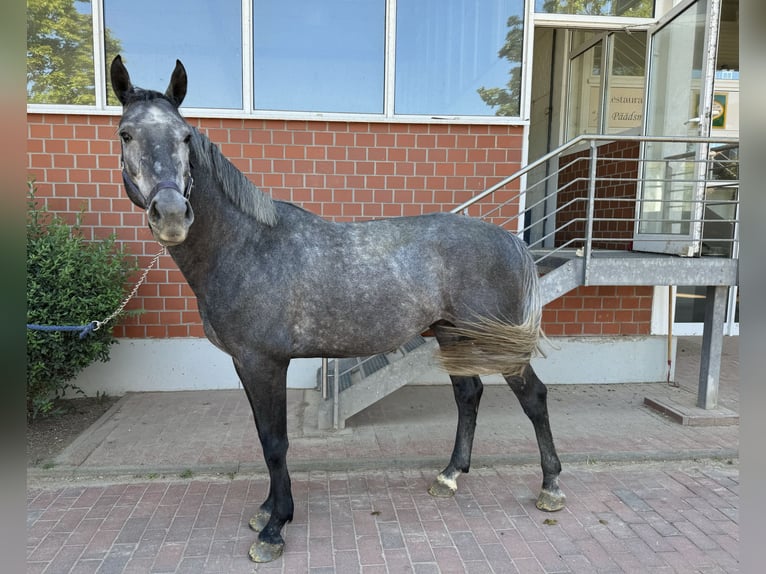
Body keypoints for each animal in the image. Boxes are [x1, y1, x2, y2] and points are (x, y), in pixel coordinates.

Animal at [109, 56, 564, 564]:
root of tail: (509, 239)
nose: (171, 214)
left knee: (533, 397)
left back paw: (550, 487)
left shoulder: (265, 363)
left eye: (185, 136)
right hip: (451, 333)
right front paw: (266, 511)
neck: (247, 246)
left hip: (494, 340)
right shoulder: (245, 364)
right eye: (126, 134)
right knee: (469, 396)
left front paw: (275, 528)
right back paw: (448, 477)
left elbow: (275, 442)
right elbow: (263, 436)